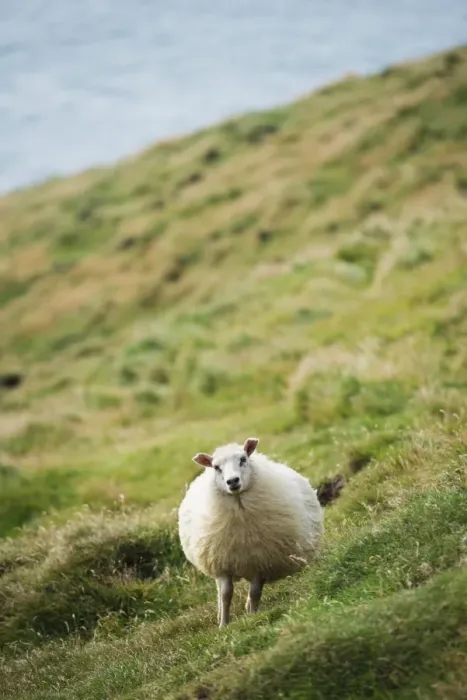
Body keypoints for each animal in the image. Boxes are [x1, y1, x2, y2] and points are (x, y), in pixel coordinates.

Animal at [178, 437, 324, 627]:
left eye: (243, 459)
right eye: (216, 467)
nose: (232, 481)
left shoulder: (258, 562)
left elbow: (254, 592)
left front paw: (252, 616)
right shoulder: (222, 563)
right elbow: (225, 594)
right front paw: (223, 625)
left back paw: (248, 609)